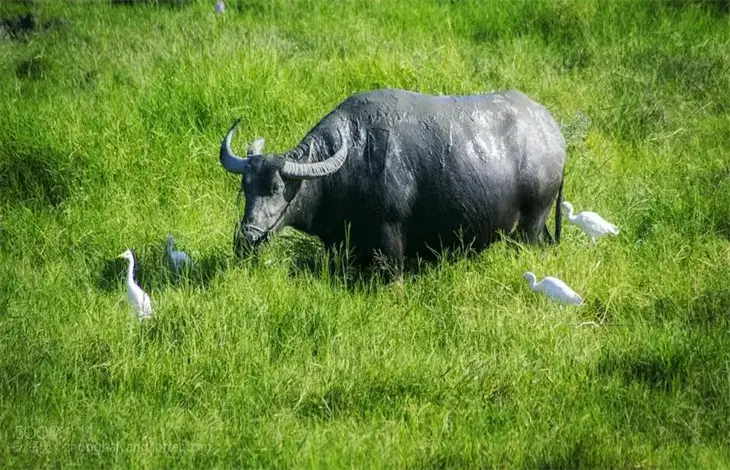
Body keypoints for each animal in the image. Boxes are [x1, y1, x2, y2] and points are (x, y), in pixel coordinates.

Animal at [219, 89, 564, 270]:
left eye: (276, 188)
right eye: (245, 188)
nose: (245, 239)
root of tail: (553, 134)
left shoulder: (390, 238)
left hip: (531, 223)